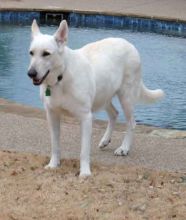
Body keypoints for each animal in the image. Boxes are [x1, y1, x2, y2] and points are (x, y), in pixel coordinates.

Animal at [27, 19, 164, 176]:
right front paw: (53, 164)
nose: (30, 73)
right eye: (31, 53)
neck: (61, 77)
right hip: (104, 95)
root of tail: (129, 44)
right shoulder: (52, 115)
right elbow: (55, 145)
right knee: (114, 114)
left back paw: (124, 148)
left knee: (131, 123)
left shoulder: (86, 118)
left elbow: (84, 151)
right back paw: (106, 140)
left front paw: (85, 173)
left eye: (46, 54)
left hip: (126, 97)